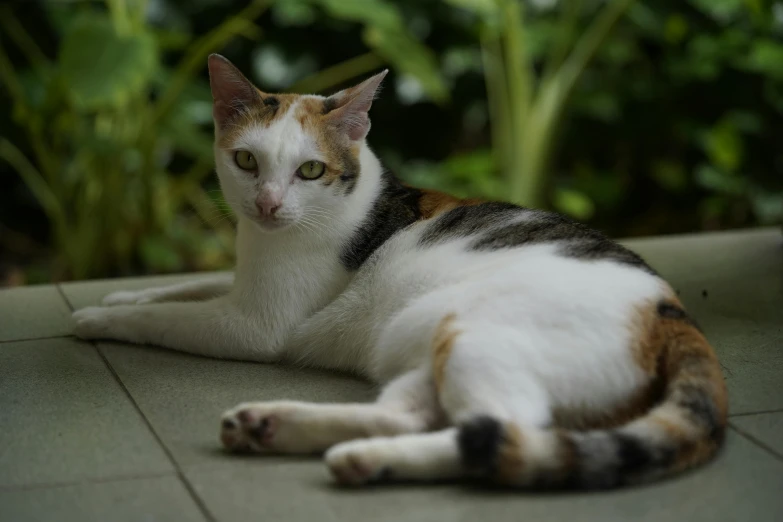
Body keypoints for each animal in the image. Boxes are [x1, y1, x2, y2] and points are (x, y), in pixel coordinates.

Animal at [73, 53, 728, 488]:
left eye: (310, 171)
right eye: (246, 161)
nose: (267, 205)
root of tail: (672, 313)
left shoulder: (254, 325)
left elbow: (171, 318)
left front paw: (97, 318)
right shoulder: (239, 282)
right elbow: (186, 286)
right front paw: (119, 298)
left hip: (471, 331)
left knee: (502, 435)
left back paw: (356, 456)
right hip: (420, 335)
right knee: (407, 414)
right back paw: (281, 429)